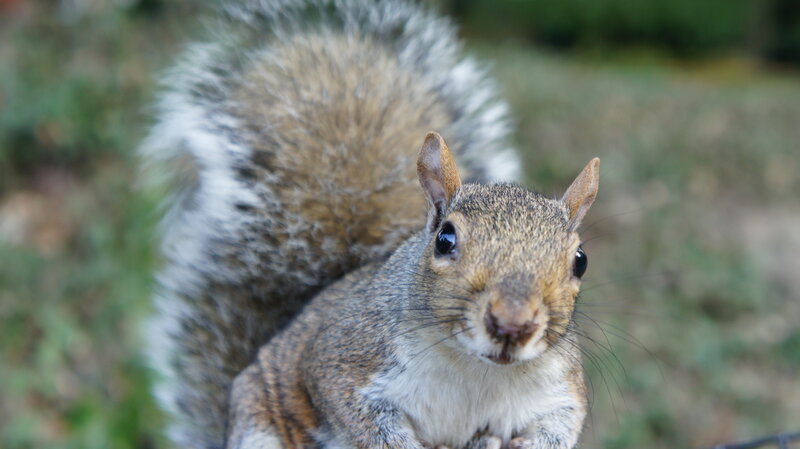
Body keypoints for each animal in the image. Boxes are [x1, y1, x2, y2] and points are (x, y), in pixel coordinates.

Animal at [140, 1, 596, 449]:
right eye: (445, 239)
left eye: (580, 261)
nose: (512, 323)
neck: (477, 368)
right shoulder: (345, 360)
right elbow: (363, 419)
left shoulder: (560, 392)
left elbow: (559, 427)